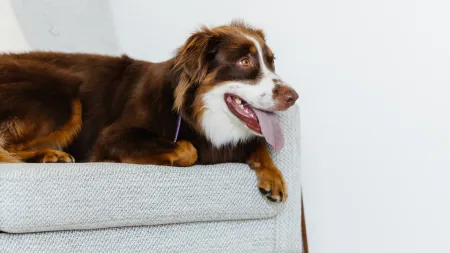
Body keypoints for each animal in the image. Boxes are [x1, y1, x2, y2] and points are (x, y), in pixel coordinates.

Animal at [0, 22, 298, 204]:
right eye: (244, 62)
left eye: (271, 62)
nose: (293, 97)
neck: (195, 112)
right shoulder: (111, 137)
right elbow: (188, 149)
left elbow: (259, 144)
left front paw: (274, 176)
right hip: (64, 95)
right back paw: (48, 155)